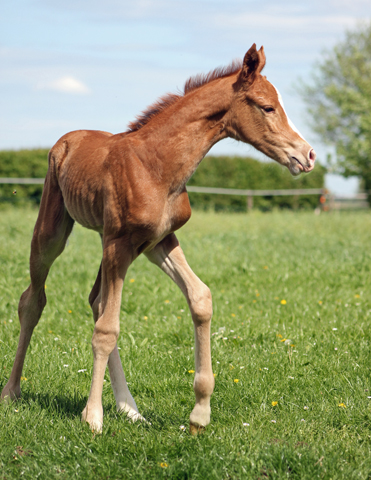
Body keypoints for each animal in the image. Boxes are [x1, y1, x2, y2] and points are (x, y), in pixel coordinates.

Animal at [1, 46, 316, 436]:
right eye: (268, 107)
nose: (307, 155)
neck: (157, 165)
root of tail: (67, 139)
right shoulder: (121, 243)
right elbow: (107, 328)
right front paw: (93, 417)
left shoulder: (158, 242)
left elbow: (200, 298)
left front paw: (199, 414)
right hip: (56, 230)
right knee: (34, 300)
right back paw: (12, 391)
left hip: (110, 242)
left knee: (95, 301)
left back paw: (130, 408)